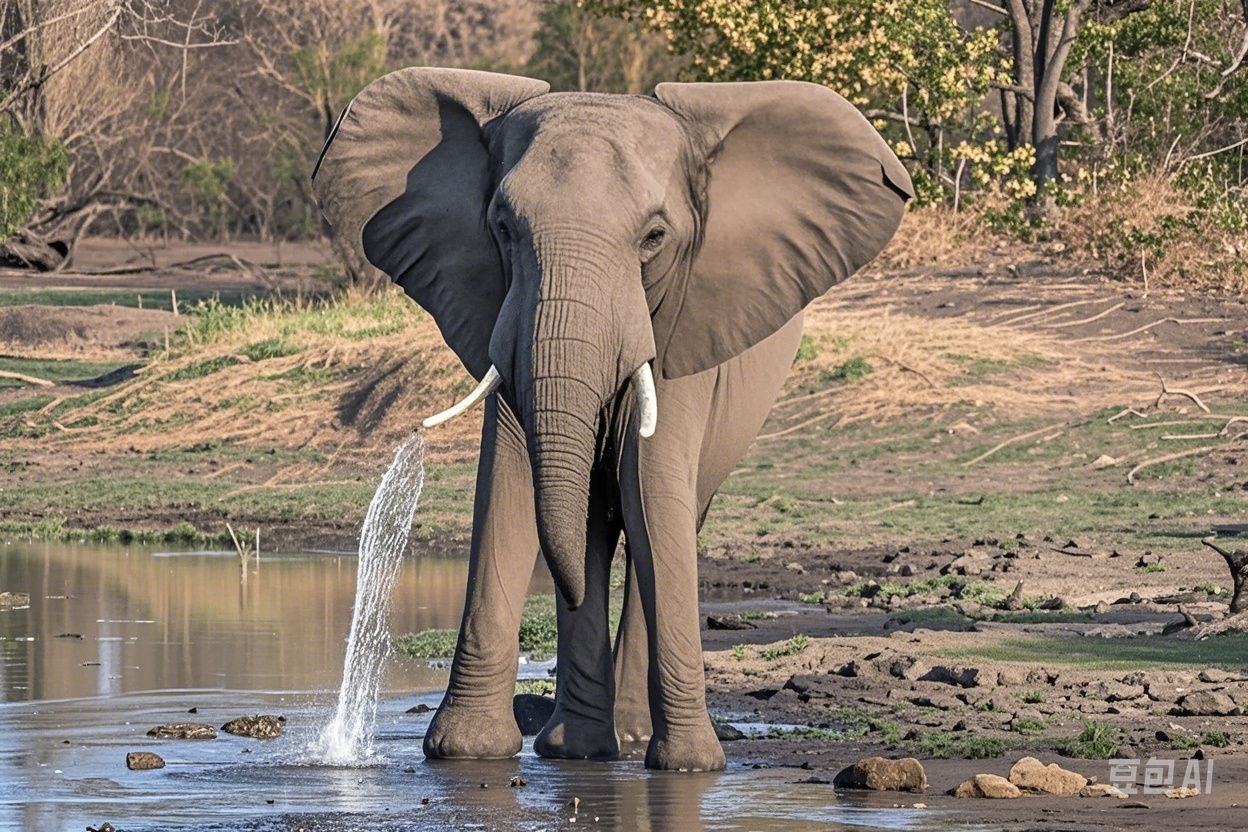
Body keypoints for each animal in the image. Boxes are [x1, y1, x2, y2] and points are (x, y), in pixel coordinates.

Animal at [312, 66, 913, 773]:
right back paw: (579, 748)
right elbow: (509, 484)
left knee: (659, 513)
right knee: (594, 520)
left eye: (654, 238)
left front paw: (690, 766)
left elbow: (649, 489)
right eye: (503, 228)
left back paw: (620, 741)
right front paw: (466, 753)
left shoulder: (684, 322)